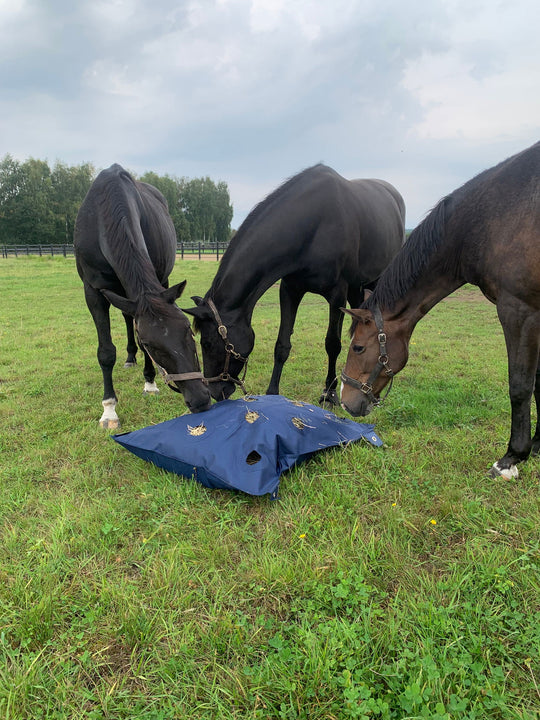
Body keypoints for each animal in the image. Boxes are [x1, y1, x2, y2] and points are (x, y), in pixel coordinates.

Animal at [74, 163, 211, 428]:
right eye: (151, 344)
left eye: (189, 331)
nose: (200, 400)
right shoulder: (92, 292)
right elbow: (106, 351)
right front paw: (109, 409)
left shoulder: (158, 282)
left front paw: (149, 383)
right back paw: (129, 359)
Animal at [185, 162, 404, 404]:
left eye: (207, 343)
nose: (216, 393)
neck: (314, 225)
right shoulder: (290, 290)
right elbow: (282, 345)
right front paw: (272, 392)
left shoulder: (336, 294)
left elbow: (332, 344)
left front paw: (329, 392)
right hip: (356, 287)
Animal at [342, 140, 540, 478]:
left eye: (358, 348)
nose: (344, 401)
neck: (487, 221)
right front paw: (537, 446)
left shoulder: (519, 311)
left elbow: (521, 385)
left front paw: (512, 457)